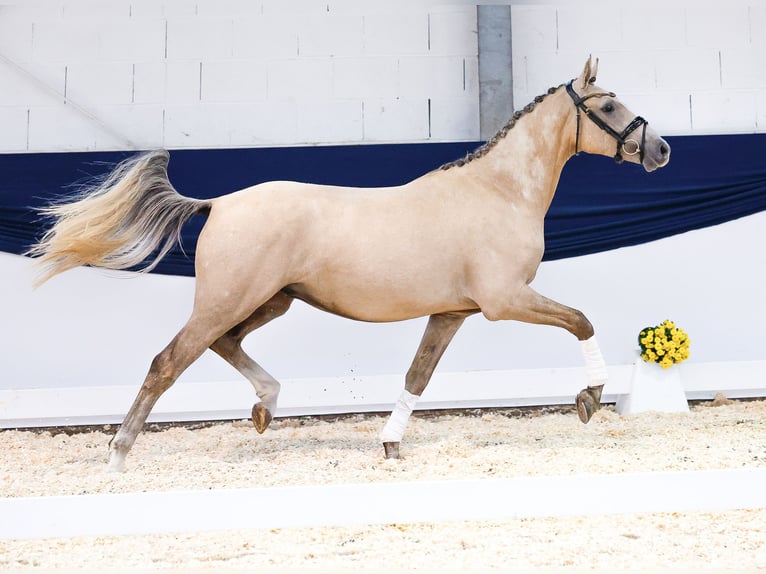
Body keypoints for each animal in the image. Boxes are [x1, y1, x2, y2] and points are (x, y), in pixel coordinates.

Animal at [28, 58, 672, 472]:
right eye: (608, 104)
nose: (661, 150)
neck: (500, 191)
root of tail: (221, 203)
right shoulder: (503, 301)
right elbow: (582, 320)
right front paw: (589, 396)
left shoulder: (452, 313)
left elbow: (417, 378)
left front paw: (389, 445)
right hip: (228, 300)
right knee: (169, 361)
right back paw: (119, 455)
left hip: (271, 300)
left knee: (224, 345)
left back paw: (266, 405)